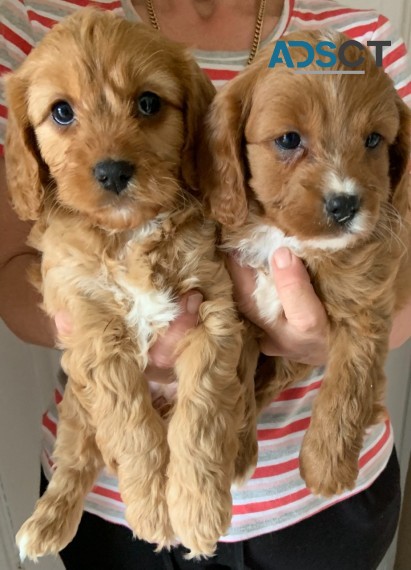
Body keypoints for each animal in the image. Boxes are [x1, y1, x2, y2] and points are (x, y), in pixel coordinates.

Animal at [4, 8, 258, 560]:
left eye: (148, 103)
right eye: (61, 112)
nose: (113, 172)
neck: (129, 237)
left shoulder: (214, 314)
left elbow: (202, 419)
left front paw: (197, 510)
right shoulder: (93, 333)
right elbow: (132, 431)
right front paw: (154, 512)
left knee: (242, 399)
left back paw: (241, 454)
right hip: (76, 403)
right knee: (78, 456)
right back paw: (47, 521)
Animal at [204, 30, 411, 492]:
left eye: (373, 141)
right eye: (288, 140)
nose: (345, 204)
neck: (290, 242)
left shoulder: (365, 311)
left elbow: (347, 389)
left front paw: (326, 467)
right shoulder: (243, 310)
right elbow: (237, 377)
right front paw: (237, 451)